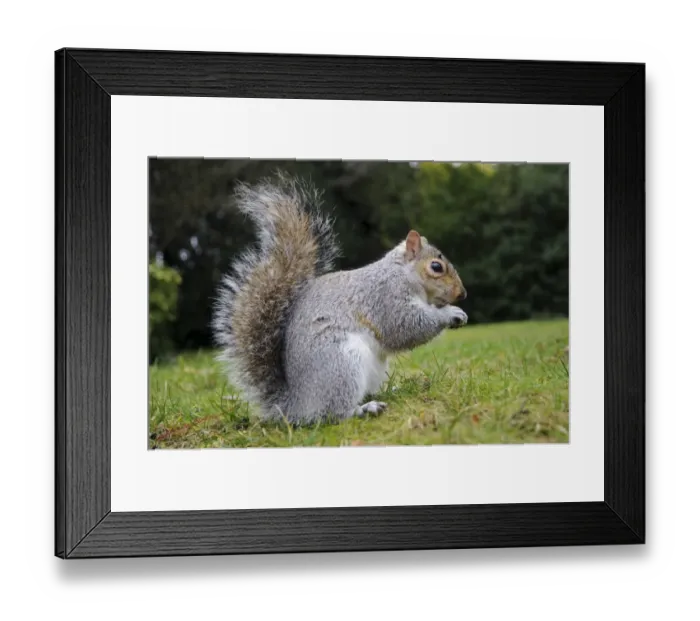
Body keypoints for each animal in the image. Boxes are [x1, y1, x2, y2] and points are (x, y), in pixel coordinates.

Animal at [212, 173, 468, 426]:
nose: (462, 294)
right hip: (342, 363)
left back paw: (390, 391)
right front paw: (451, 313)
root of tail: (297, 406)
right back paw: (364, 409)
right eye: (436, 267)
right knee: (332, 413)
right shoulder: (385, 297)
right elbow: (406, 327)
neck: (402, 273)